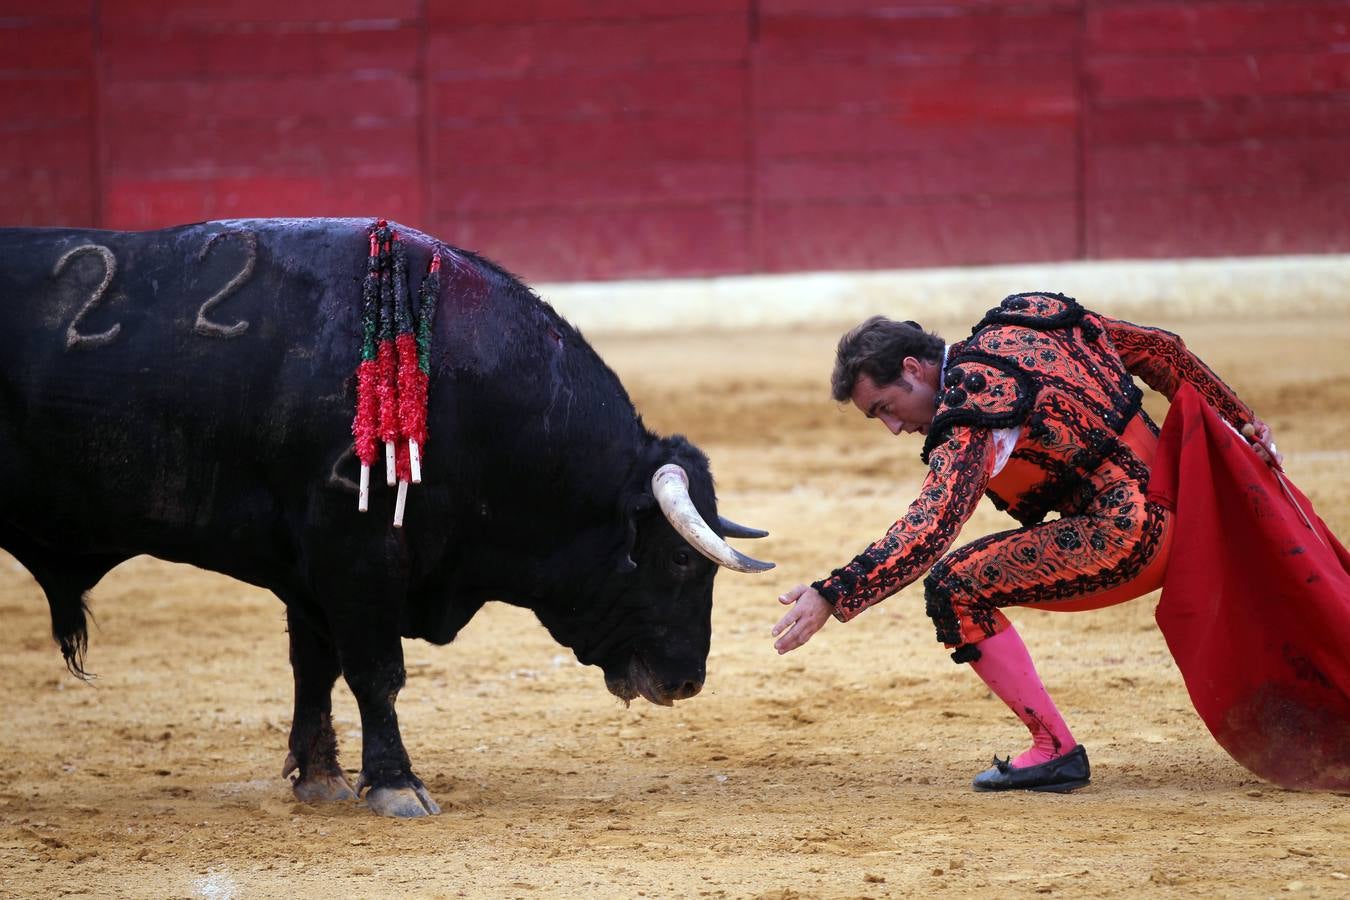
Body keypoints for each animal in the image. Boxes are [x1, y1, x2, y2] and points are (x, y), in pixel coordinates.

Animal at [0, 218, 777, 814]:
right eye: (679, 559)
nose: (688, 680)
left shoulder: (306, 569)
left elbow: (314, 666)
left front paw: (321, 780)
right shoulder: (356, 553)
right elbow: (375, 671)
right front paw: (397, 786)